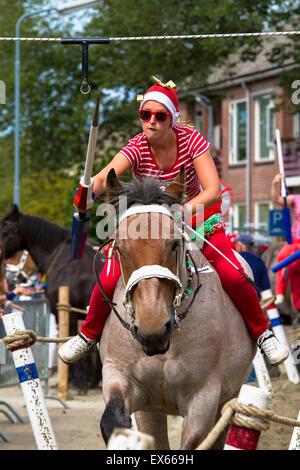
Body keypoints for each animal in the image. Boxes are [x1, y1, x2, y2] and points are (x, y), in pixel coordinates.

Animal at [98, 170, 255, 452]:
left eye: (173, 244)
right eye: (120, 249)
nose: (152, 331)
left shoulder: (204, 398)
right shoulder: (120, 377)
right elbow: (113, 421)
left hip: (229, 395)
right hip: (152, 410)